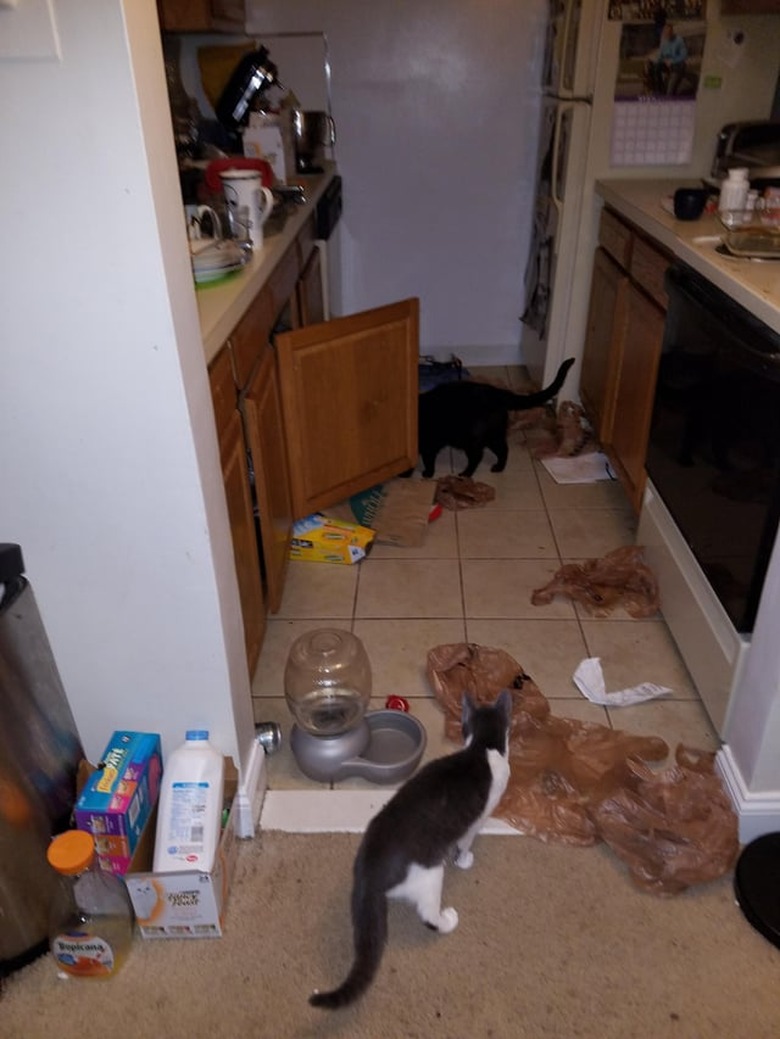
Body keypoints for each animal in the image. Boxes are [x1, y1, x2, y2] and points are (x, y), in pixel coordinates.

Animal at [307, 685, 515, 1009]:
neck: (482, 747)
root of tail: (371, 869)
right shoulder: (478, 818)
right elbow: (467, 839)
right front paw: (465, 859)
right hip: (429, 873)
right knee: (429, 914)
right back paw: (447, 920)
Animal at [417, 357, 577, 477]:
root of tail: (498, 393)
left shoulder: (428, 444)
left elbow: (428, 460)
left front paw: (427, 473)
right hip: (493, 434)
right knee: (503, 449)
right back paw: (499, 467)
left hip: (473, 439)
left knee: (478, 456)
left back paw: (466, 474)